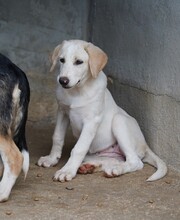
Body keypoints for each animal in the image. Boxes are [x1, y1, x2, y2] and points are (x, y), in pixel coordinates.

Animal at [37, 39, 167, 182]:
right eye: (62, 60)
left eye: (79, 62)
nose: (63, 81)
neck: (77, 92)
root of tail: (145, 145)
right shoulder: (62, 112)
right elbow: (57, 137)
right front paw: (51, 159)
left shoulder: (91, 121)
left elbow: (78, 149)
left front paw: (67, 171)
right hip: (96, 153)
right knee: (115, 159)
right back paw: (90, 167)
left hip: (119, 121)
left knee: (135, 162)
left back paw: (116, 170)